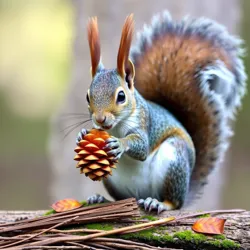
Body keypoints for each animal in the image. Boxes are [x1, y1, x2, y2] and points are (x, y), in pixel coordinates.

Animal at [75, 11, 246, 213]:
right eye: (87, 96)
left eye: (121, 96)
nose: (100, 119)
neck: (115, 127)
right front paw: (82, 134)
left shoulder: (144, 122)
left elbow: (142, 147)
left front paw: (120, 143)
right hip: (114, 181)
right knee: (123, 199)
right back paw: (101, 199)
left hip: (173, 160)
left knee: (173, 202)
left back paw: (158, 202)